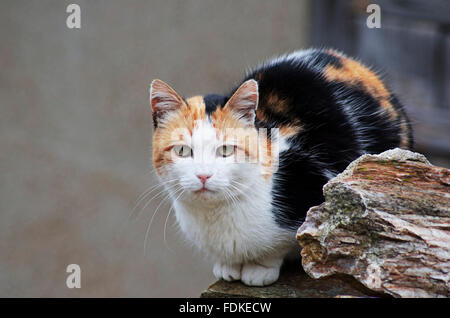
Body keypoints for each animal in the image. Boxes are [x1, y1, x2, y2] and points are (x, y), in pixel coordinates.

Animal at [149, 48, 414, 286]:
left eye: (225, 150)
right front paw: (228, 266)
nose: (203, 175)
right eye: (183, 151)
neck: (214, 217)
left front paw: (259, 269)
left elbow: (284, 244)